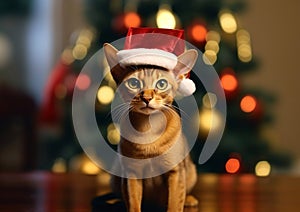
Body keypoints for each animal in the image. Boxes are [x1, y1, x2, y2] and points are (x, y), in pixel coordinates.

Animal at [103, 43, 199, 212]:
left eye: (161, 84)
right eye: (133, 83)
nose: (147, 98)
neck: (148, 130)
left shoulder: (175, 172)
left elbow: (175, 203)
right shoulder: (131, 173)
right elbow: (133, 203)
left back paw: (190, 199)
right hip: (114, 176)